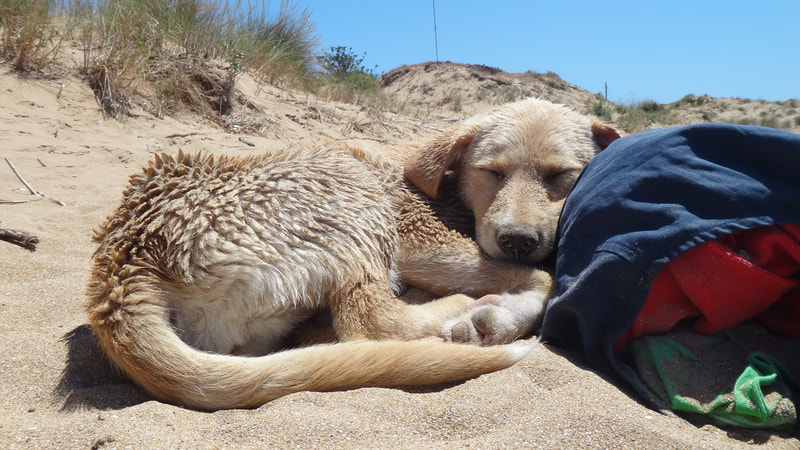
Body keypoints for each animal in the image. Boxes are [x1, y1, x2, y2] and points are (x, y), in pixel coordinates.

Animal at [84, 98, 616, 412]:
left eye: (561, 176)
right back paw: (467, 313)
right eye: (491, 172)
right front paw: (498, 309)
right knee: (372, 321)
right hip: (352, 190)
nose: (518, 239)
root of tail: (122, 264)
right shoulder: (418, 236)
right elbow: (539, 276)